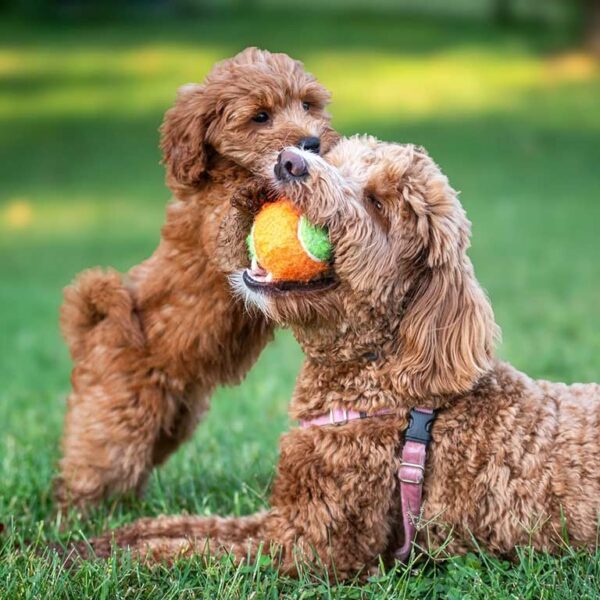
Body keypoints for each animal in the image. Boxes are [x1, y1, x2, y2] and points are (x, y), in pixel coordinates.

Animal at [55, 49, 338, 512]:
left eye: (308, 104)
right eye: (260, 116)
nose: (311, 144)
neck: (225, 171)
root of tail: (91, 331)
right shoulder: (216, 233)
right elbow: (233, 227)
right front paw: (260, 188)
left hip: (173, 421)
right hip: (116, 412)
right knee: (91, 465)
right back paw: (79, 514)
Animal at [67, 138, 600, 580]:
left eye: (379, 203)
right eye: (339, 162)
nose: (289, 161)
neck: (383, 379)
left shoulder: (309, 544)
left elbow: (194, 549)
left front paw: (103, 556)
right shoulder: (283, 512)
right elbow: (196, 523)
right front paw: (103, 537)